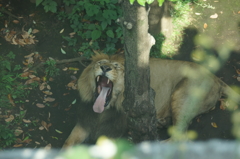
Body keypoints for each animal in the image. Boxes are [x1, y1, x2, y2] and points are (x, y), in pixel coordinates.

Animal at [62, 52, 240, 147]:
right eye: (100, 63)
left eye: (116, 67)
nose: (105, 68)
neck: (104, 110)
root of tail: (216, 78)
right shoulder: (84, 123)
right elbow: (67, 143)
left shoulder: (114, 132)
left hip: (182, 93)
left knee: (181, 137)